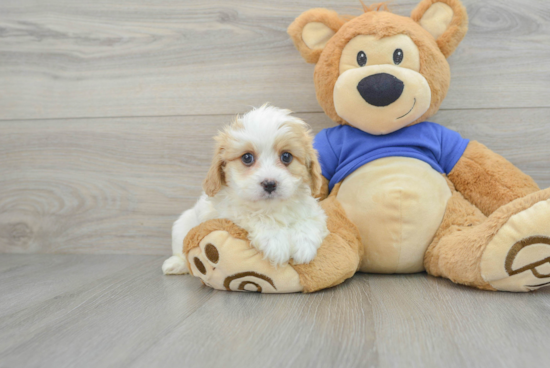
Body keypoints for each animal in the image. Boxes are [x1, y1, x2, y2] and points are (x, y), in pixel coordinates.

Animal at [162, 105, 330, 274]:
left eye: (286, 157)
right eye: (247, 158)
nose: (269, 184)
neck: (271, 208)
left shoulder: (313, 209)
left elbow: (309, 219)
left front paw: (304, 244)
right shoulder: (228, 212)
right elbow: (253, 216)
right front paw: (276, 241)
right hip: (181, 226)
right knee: (182, 252)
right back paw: (175, 264)